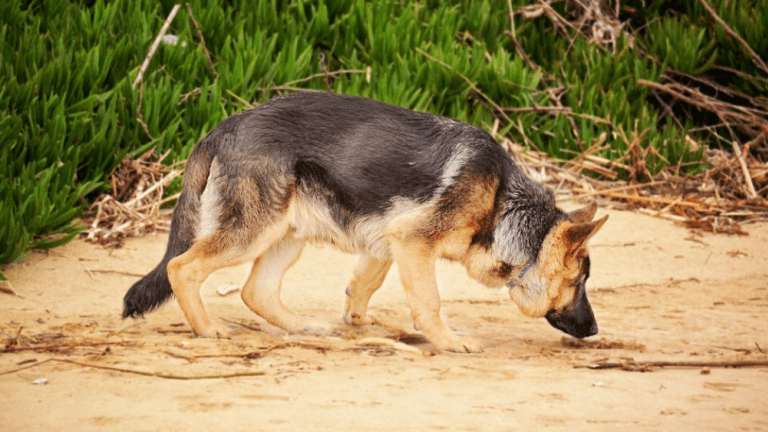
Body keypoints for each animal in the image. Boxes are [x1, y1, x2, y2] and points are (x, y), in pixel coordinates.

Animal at [123, 93, 608, 352]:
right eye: (578, 283)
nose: (595, 330)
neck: (502, 202)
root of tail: (221, 128)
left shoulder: (389, 241)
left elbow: (365, 285)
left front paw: (358, 322)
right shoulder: (413, 242)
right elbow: (429, 301)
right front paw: (447, 340)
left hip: (287, 235)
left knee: (255, 290)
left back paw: (302, 327)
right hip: (251, 234)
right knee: (181, 267)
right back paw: (207, 330)